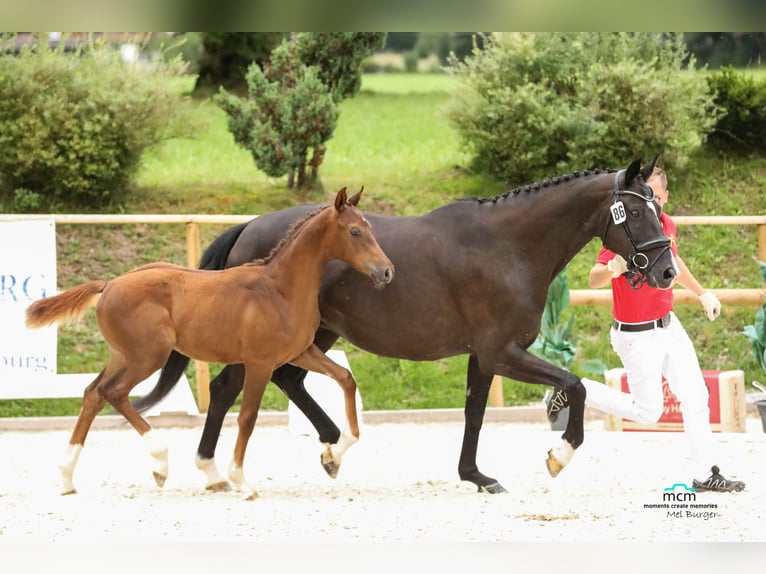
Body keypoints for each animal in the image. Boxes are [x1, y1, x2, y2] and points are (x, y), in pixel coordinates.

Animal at [26, 189, 392, 500]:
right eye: (355, 232)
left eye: (370, 228)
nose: (387, 271)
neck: (280, 289)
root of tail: (109, 284)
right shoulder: (259, 363)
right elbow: (247, 417)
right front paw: (242, 481)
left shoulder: (301, 352)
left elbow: (346, 378)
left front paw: (335, 453)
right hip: (148, 356)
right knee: (112, 393)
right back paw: (160, 463)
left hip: (123, 356)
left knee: (92, 394)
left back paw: (67, 477)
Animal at [140, 156, 680, 496]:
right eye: (635, 210)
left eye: (657, 208)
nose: (666, 272)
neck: (509, 246)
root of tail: (248, 228)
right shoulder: (501, 351)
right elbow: (576, 386)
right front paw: (557, 455)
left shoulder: (483, 356)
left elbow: (475, 413)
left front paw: (476, 475)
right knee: (229, 388)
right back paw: (215, 468)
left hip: (316, 335)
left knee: (287, 380)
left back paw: (331, 447)